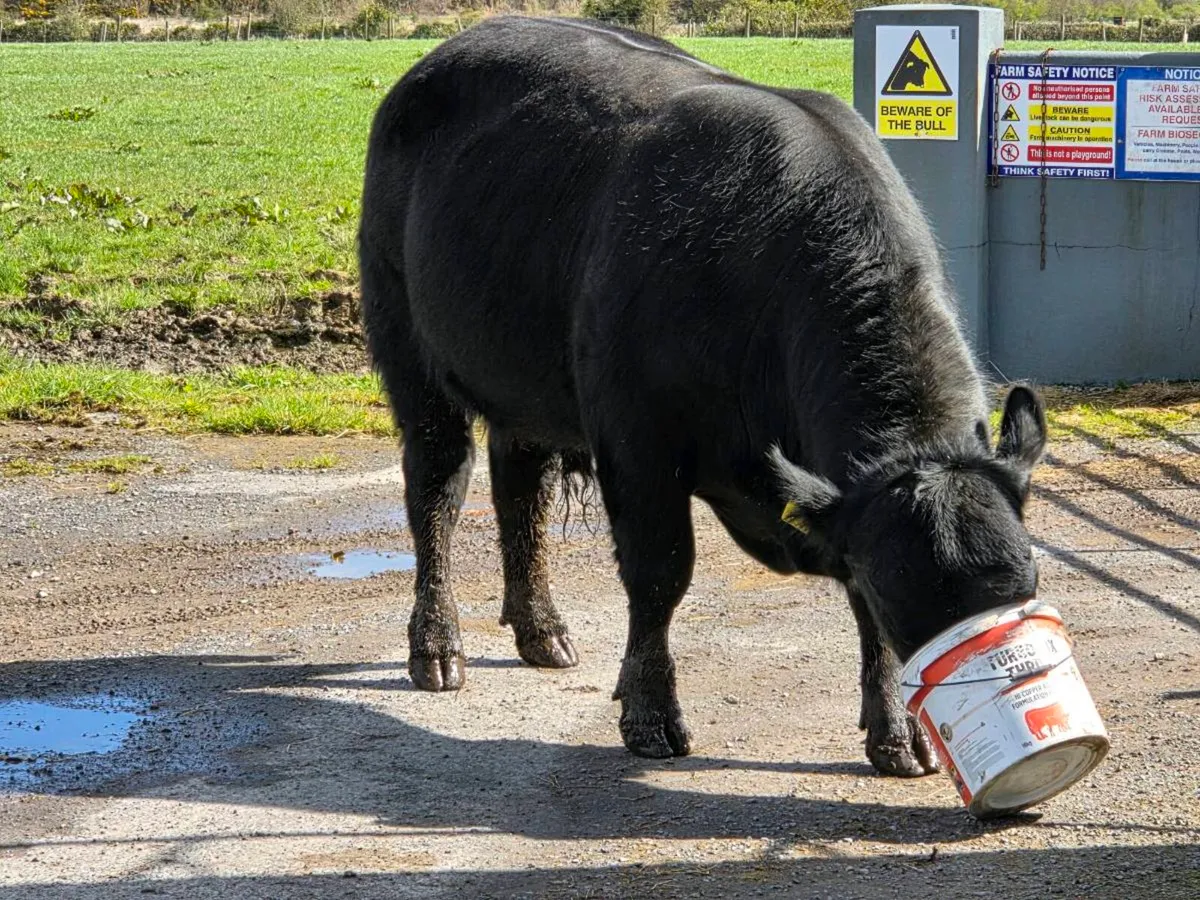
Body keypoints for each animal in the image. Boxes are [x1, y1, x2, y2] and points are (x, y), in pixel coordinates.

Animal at [358, 16, 1047, 777]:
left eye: (1026, 578)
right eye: (900, 587)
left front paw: (898, 734)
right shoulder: (636, 444)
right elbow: (660, 576)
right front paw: (650, 714)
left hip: (523, 385)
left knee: (520, 493)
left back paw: (542, 632)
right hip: (409, 350)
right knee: (438, 490)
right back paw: (436, 646)